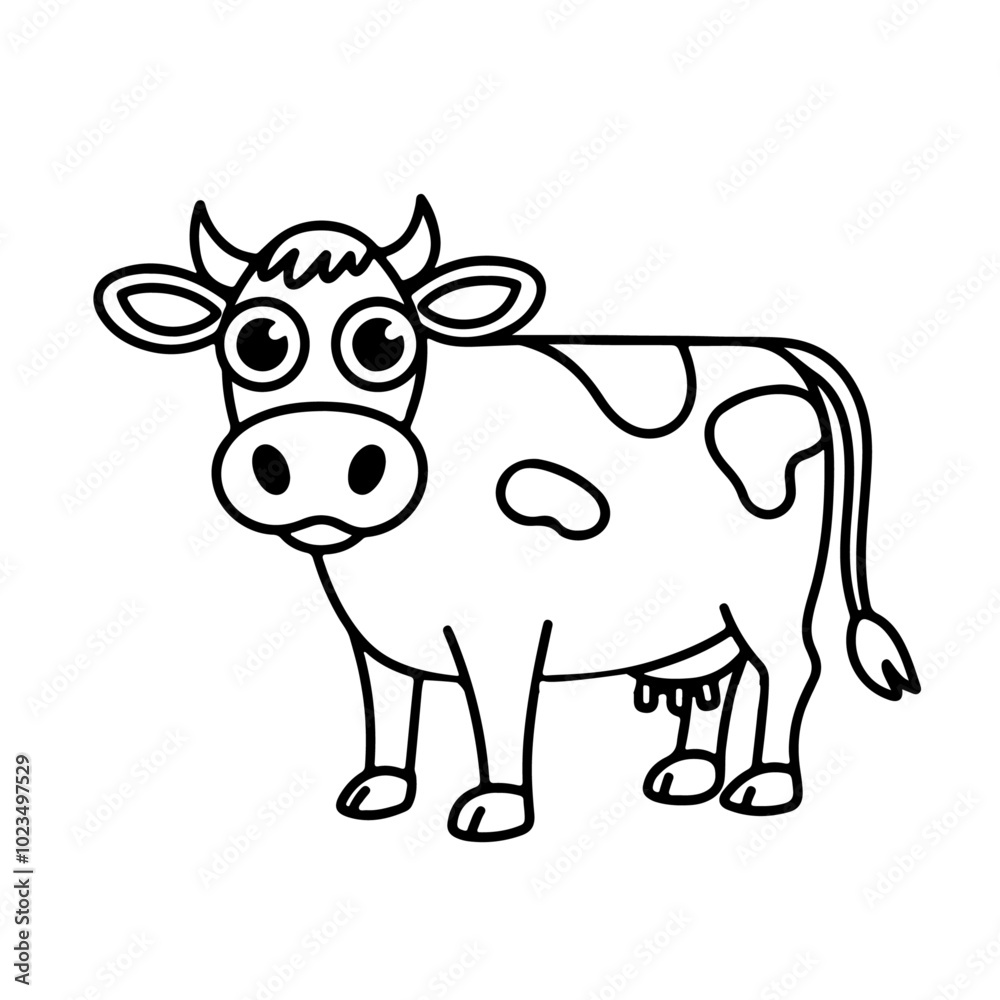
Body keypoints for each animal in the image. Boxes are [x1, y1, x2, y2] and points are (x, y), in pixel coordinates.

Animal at [94, 198, 920, 842]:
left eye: (384, 341)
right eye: (256, 342)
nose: (318, 456)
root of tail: (783, 353)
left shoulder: (505, 630)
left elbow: (495, 714)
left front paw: (496, 803)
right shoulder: (374, 637)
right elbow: (388, 707)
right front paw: (380, 787)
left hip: (767, 591)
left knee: (789, 665)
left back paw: (765, 782)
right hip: (710, 604)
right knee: (721, 672)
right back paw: (688, 772)